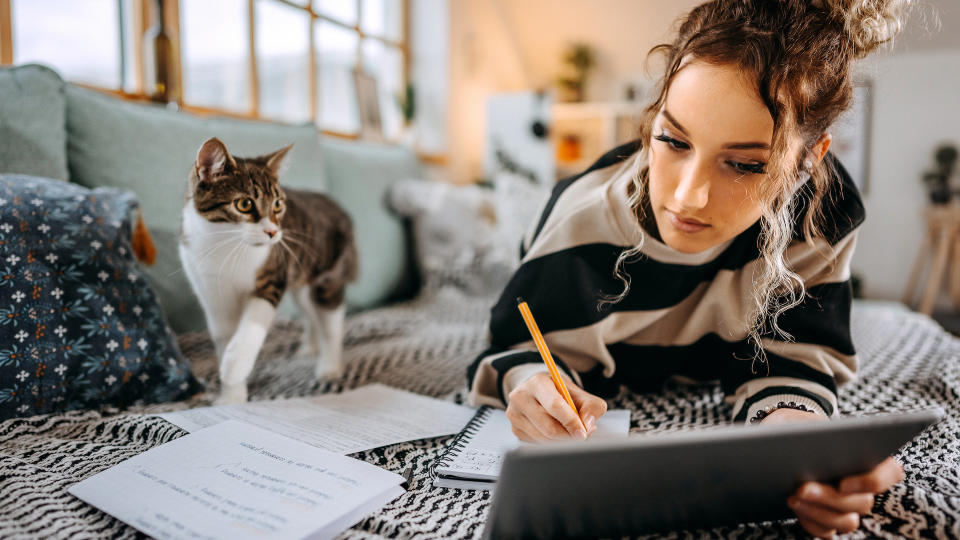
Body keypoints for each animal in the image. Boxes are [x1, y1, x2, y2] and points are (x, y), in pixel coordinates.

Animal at [178, 137, 358, 402]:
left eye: (278, 204)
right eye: (244, 204)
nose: (273, 232)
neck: (226, 245)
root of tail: (336, 204)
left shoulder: (274, 273)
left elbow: (254, 319)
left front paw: (235, 364)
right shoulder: (211, 290)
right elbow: (223, 334)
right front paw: (231, 397)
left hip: (330, 273)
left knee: (331, 317)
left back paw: (330, 366)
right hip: (301, 281)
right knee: (310, 312)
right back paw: (310, 347)